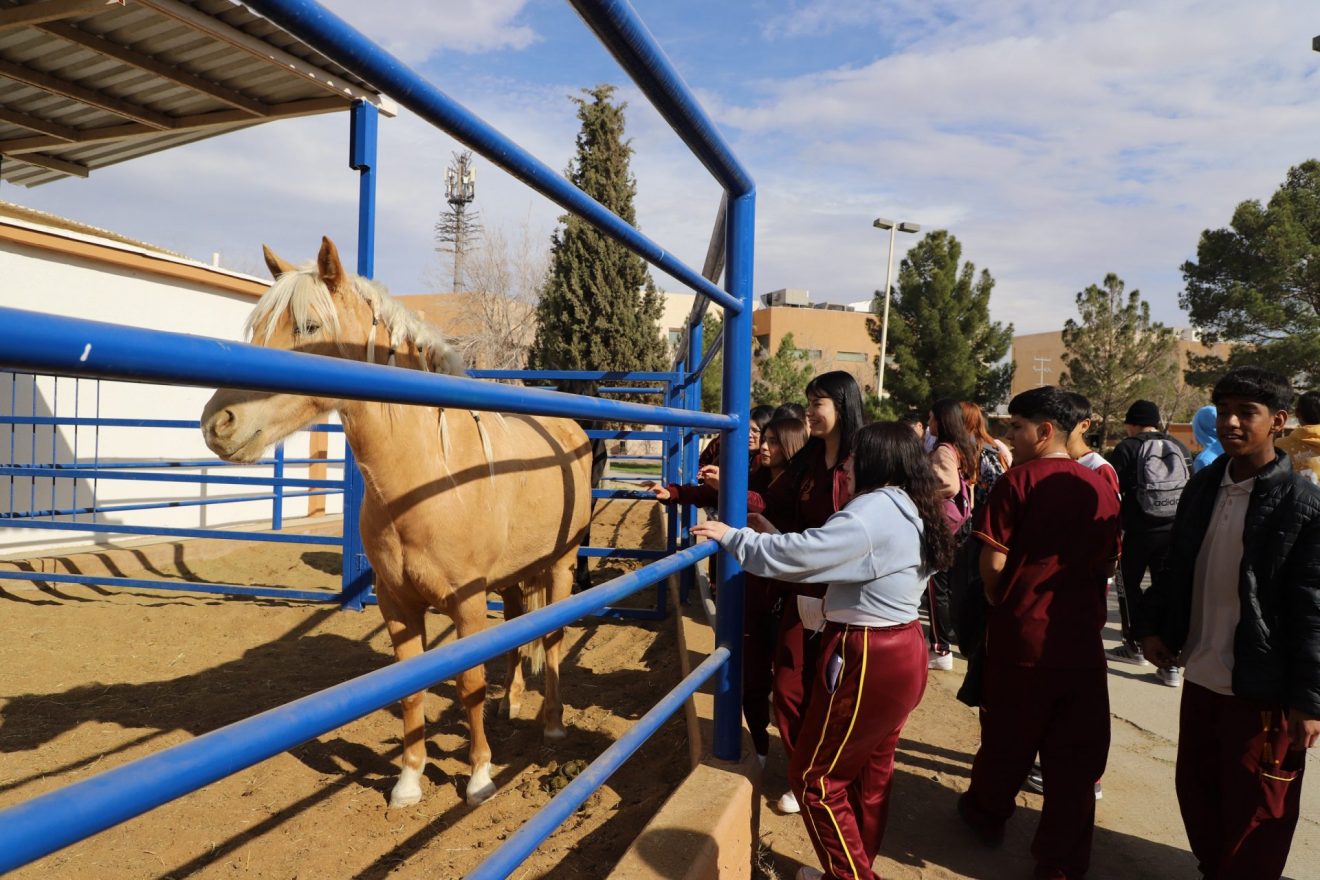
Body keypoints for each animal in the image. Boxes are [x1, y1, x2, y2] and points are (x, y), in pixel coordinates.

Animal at [200, 237, 593, 808]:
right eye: (256, 329)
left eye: (309, 327)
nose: (218, 423)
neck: (427, 477)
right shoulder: (396, 602)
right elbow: (410, 688)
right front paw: (408, 781)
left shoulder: (467, 603)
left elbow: (469, 684)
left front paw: (479, 776)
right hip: (513, 579)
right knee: (520, 631)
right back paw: (512, 701)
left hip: (560, 566)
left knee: (555, 639)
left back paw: (553, 722)